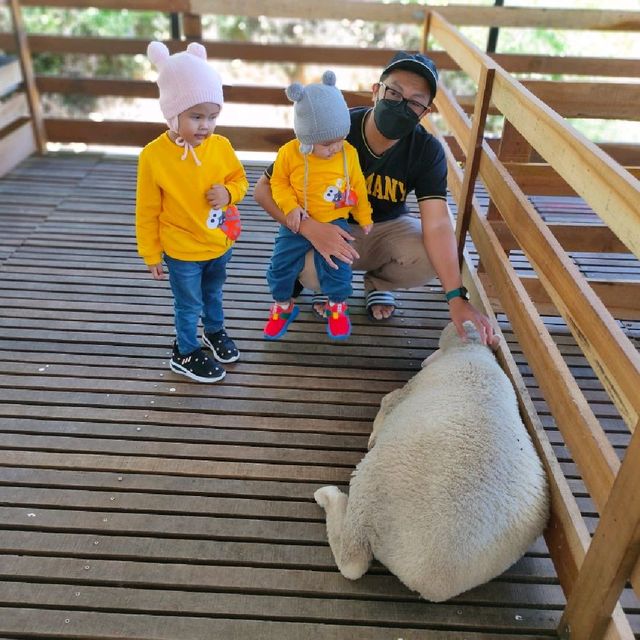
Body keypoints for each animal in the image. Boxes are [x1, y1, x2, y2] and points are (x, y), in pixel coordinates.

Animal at [316, 322, 552, 604]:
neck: (471, 350)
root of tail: (427, 579)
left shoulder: (406, 391)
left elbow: (387, 401)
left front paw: (374, 433)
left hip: (368, 491)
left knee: (351, 562)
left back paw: (328, 496)